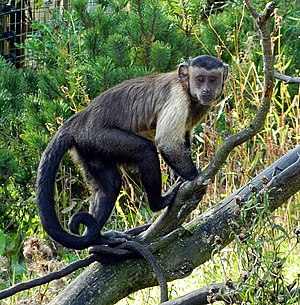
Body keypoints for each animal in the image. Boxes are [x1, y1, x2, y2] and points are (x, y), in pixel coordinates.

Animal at [37, 55, 230, 249]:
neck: (187, 89)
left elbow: (182, 138)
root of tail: (77, 121)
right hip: (96, 135)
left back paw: (98, 239)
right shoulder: (178, 97)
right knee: (144, 151)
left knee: (109, 187)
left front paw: (179, 176)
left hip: (88, 147)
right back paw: (158, 203)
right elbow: (166, 142)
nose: (206, 89)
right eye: (200, 79)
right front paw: (193, 177)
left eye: (212, 79)